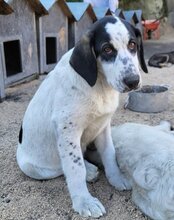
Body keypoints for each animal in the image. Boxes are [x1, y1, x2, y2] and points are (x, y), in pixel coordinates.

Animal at [16, 16, 147, 217]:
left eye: (132, 44)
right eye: (107, 49)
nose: (133, 81)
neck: (99, 84)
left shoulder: (103, 126)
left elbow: (110, 154)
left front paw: (116, 178)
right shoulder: (67, 132)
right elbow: (74, 168)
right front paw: (84, 201)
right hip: (32, 167)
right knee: (61, 167)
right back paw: (89, 171)